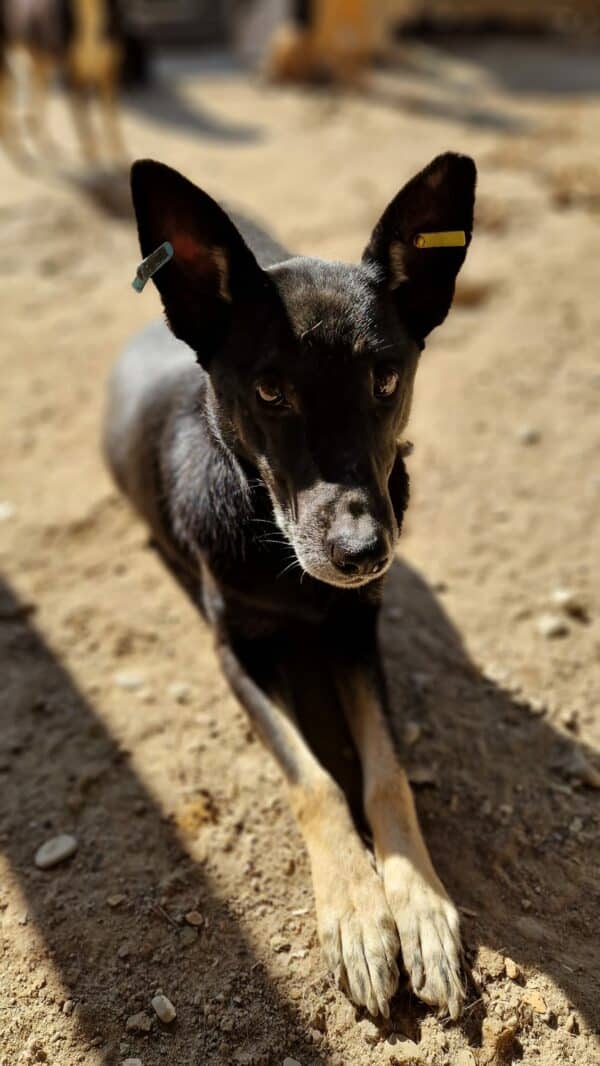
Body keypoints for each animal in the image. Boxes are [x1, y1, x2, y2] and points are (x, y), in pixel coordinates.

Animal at [104, 154, 479, 1019]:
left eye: (386, 380)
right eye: (271, 392)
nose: (362, 553)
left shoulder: (358, 633)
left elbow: (386, 775)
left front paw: (418, 905)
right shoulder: (236, 653)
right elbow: (316, 783)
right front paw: (358, 912)